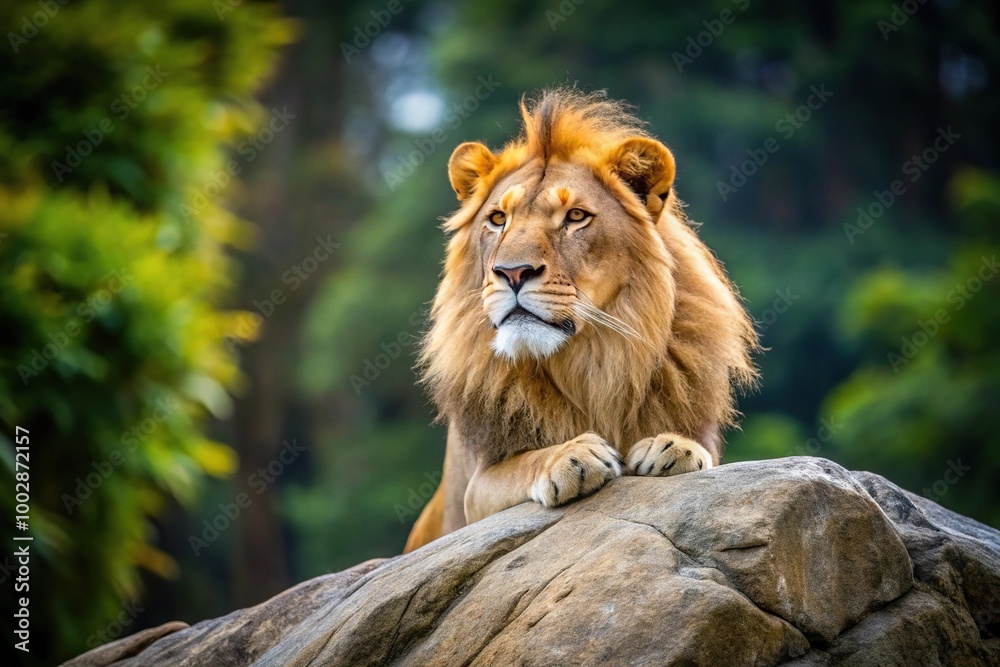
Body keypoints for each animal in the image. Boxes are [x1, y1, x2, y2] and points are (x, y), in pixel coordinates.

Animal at [404, 88, 758, 553]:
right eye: (497, 219)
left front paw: (674, 448)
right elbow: (523, 463)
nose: (512, 272)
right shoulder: (475, 491)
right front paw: (569, 456)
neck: (591, 356)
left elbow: (707, 456)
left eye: (575, 216)